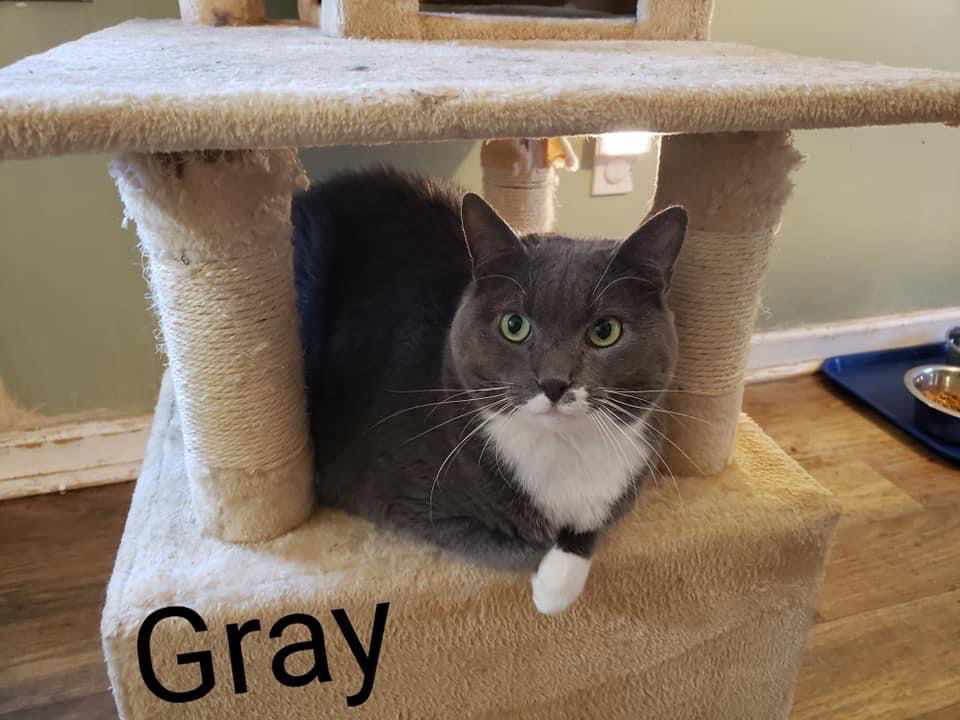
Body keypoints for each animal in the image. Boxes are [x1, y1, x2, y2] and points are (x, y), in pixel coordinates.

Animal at [290, 169, 684, 612]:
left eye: (605, 331)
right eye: (514, 325)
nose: (553, 382)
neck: (562, 448)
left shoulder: (633, 471)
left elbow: (592, 525)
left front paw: (559, 582)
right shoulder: (402, 499)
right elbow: (525, 544)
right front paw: (549, 589)